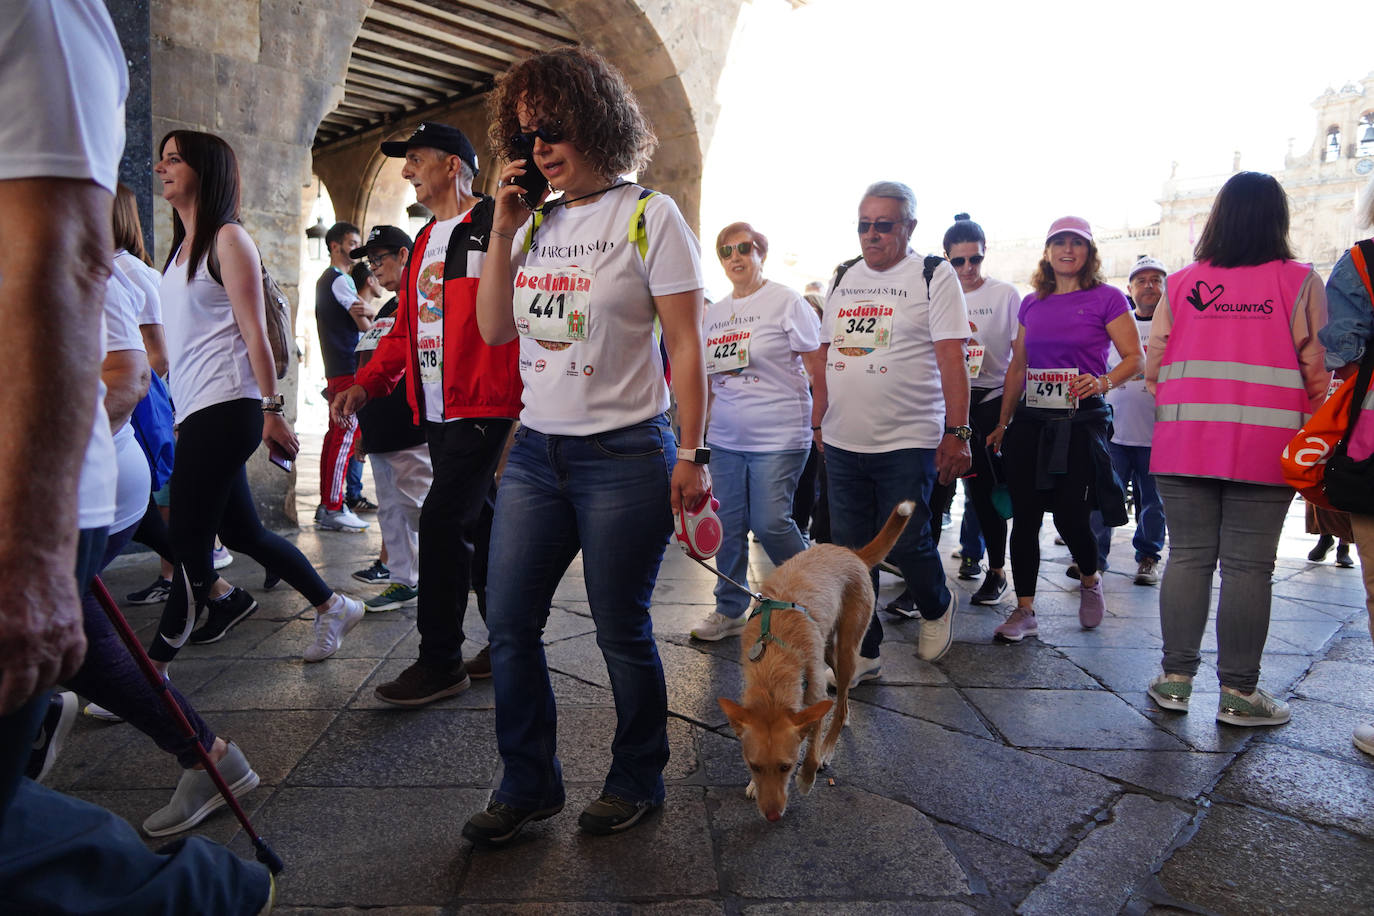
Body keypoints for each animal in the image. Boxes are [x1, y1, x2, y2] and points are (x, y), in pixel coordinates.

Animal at [719, 502, 912, 823]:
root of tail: (851, 553)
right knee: (842, 700)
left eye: (786, 767)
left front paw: (808, 776)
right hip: (828, 649)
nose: (772, 816)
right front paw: (753, 786)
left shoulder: (816, 697)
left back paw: (829, 748)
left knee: (840, 704)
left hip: (846, 650)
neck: (774, 663)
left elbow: (811, 745)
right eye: (754, 766)